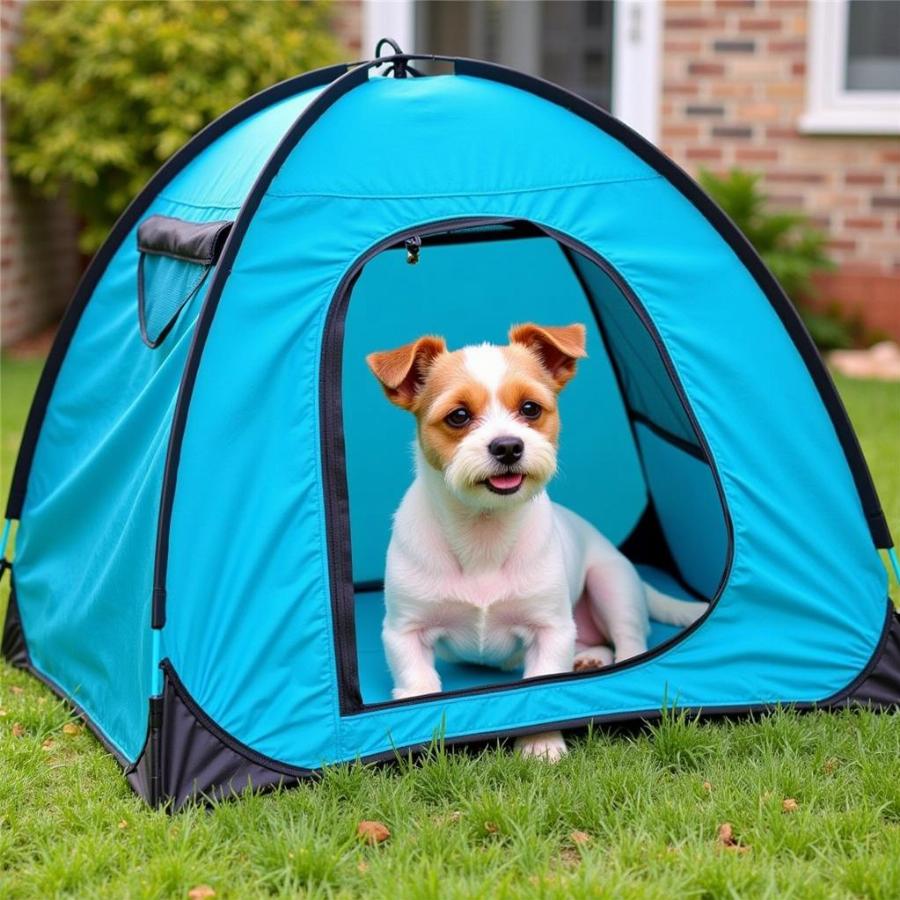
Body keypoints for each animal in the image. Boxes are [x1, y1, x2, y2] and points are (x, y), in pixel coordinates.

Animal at [366, 324, 704, 760]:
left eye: (530, 409)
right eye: (458, 416)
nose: (508, 446)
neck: (483, 531)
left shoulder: (550, 629)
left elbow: (542, 687)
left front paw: (541, 743)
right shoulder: (405, 631)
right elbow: (419, 684)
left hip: (612, 584)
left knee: (629, 641)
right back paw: (588, 659)